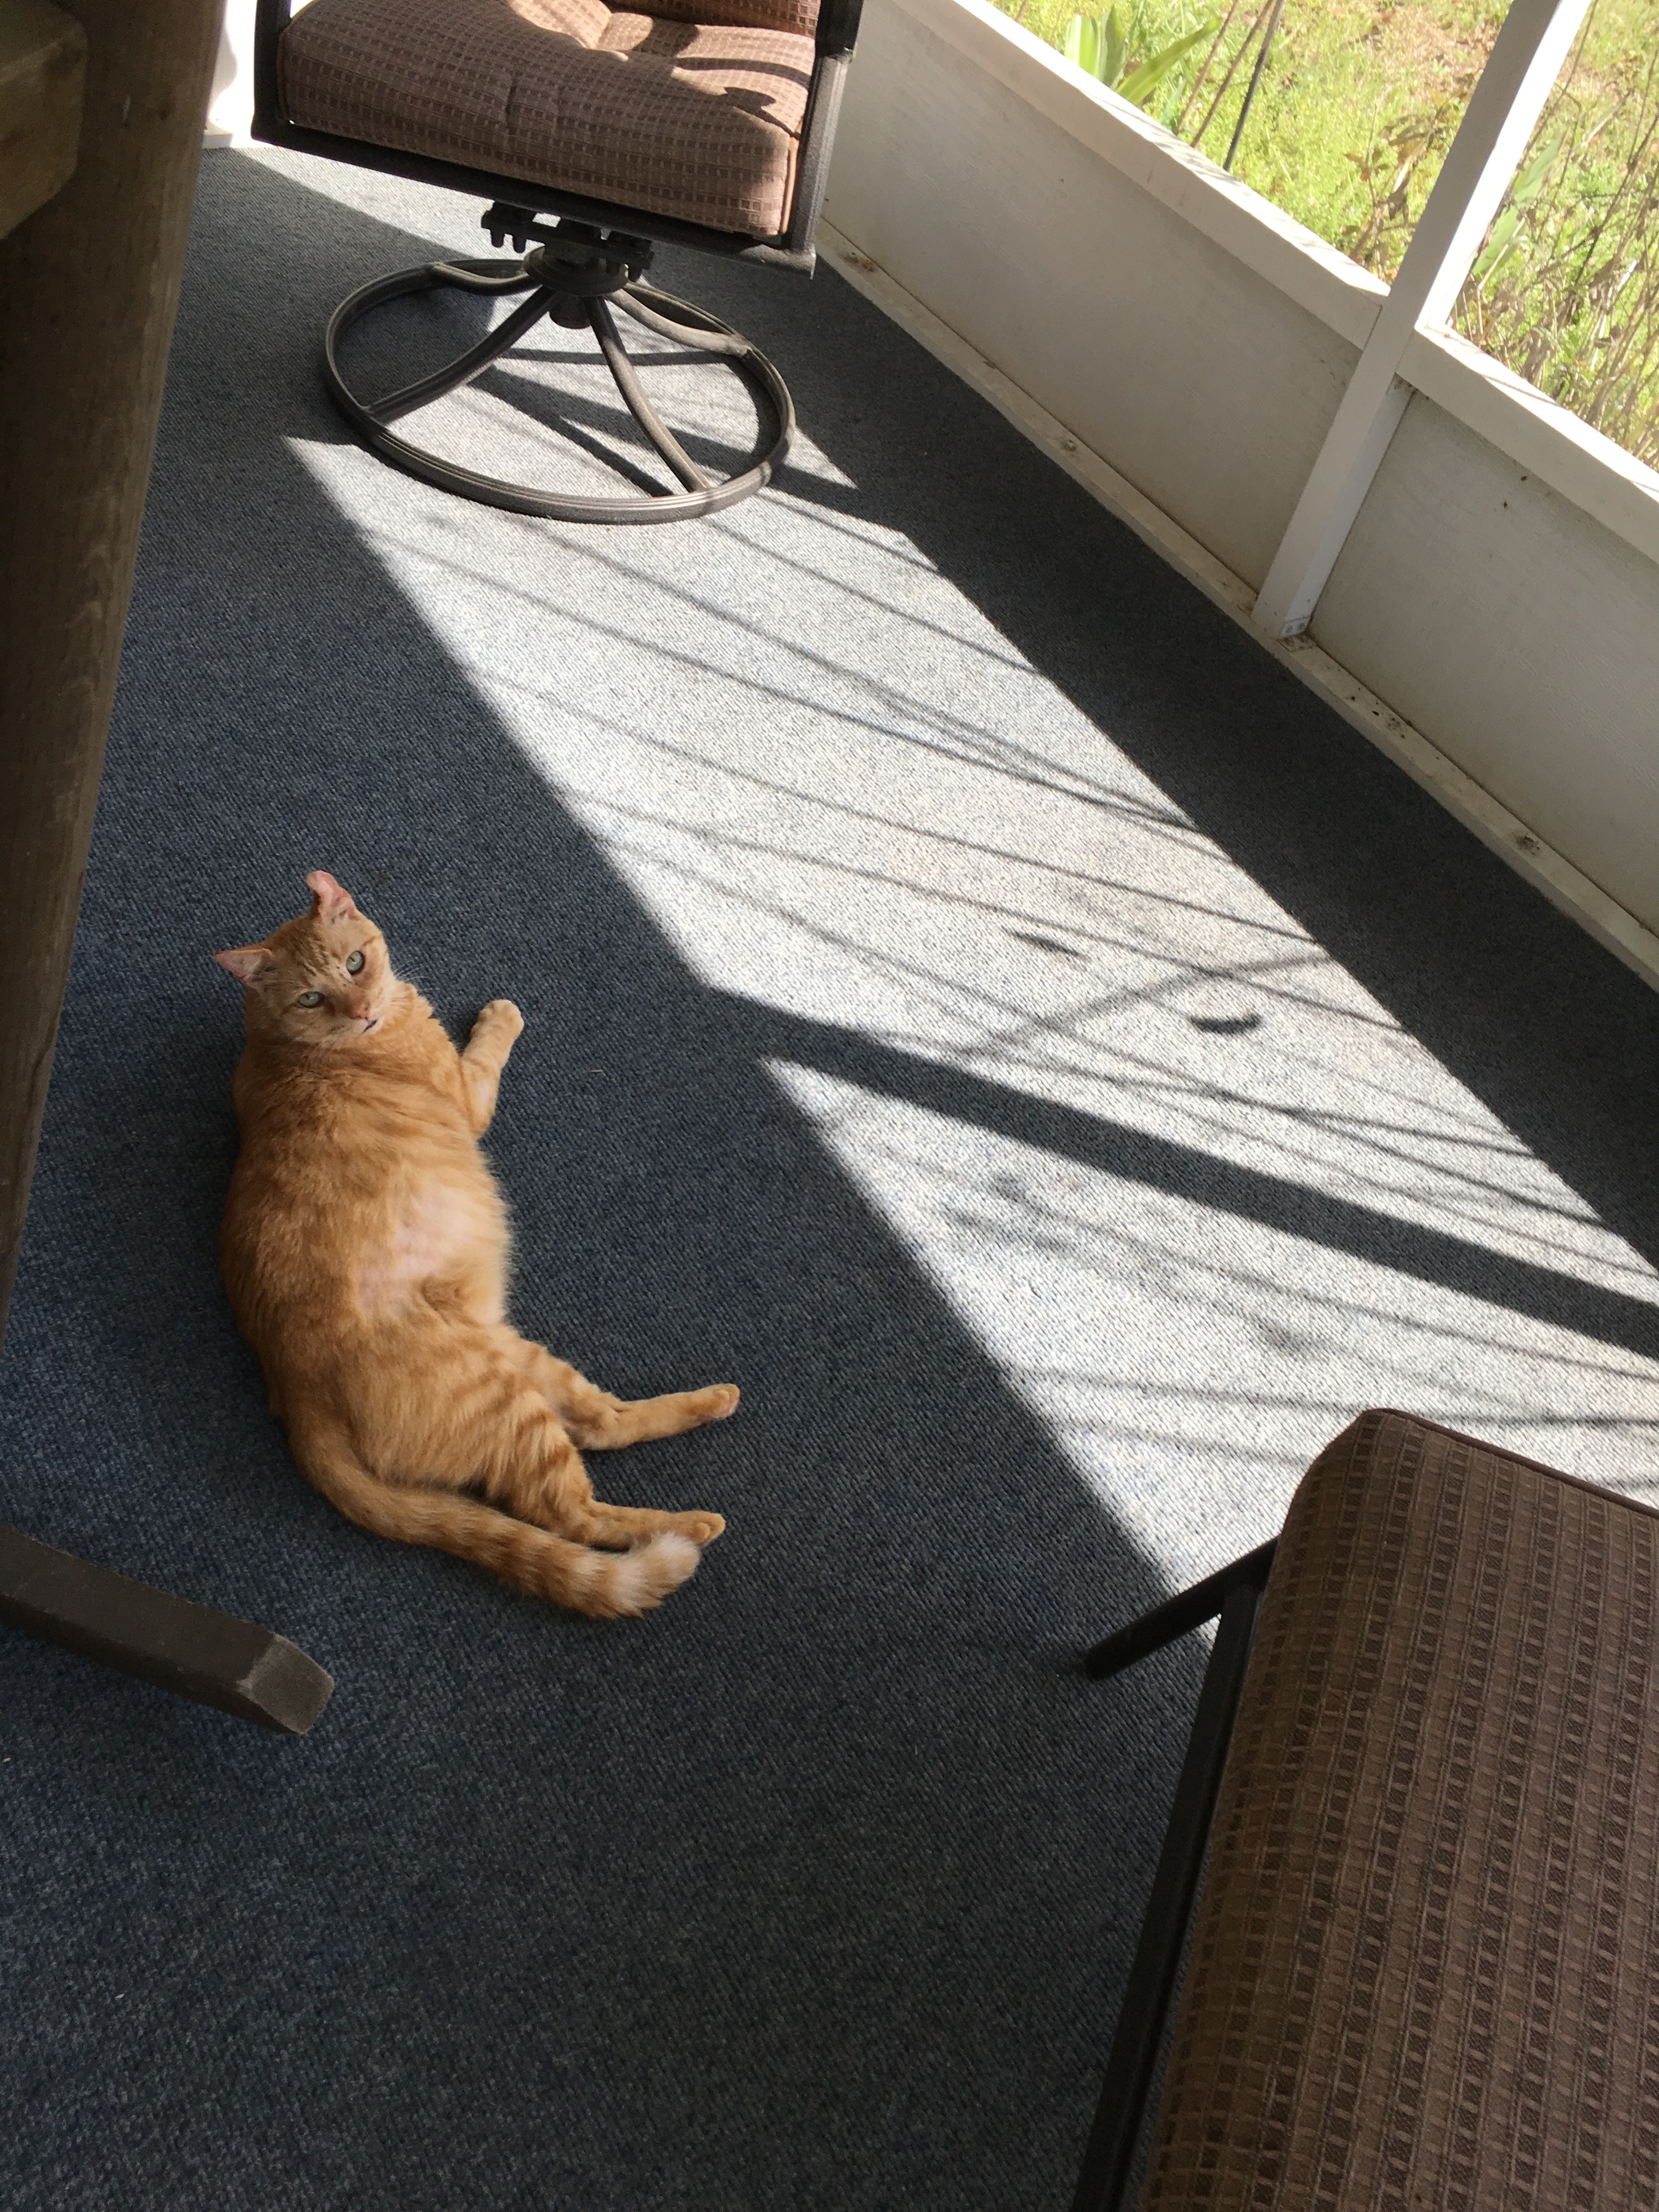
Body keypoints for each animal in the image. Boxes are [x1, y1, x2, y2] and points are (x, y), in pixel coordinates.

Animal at [213, 871, 734, 1618]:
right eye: (313, 997)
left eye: (355, 964)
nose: (363, 1010)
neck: (287, 1046)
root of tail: (294, 1396)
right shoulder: (468, 1095)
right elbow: (488, 1052)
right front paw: (501, 1019)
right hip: (510, 1406)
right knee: (570, 1514)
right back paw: (691, 1527)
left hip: (520, 1358)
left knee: (601, 1424)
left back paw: (713, 1403)